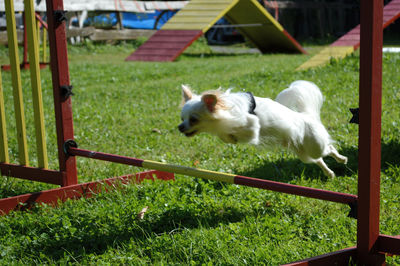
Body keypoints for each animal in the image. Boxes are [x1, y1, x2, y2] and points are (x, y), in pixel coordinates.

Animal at [178, 80, 346, 178]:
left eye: (193, 119)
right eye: (182, 119)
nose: (180, 127)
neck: (226, 111)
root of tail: (306, 116)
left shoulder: (252, 125)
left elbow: (246, 134)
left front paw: (234, 137)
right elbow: (225, 137)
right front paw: (230, 138)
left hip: (314, 145)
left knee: (329, 148)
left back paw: (341, 159)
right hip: (304, 154)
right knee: (318, 160)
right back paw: (330, 173)